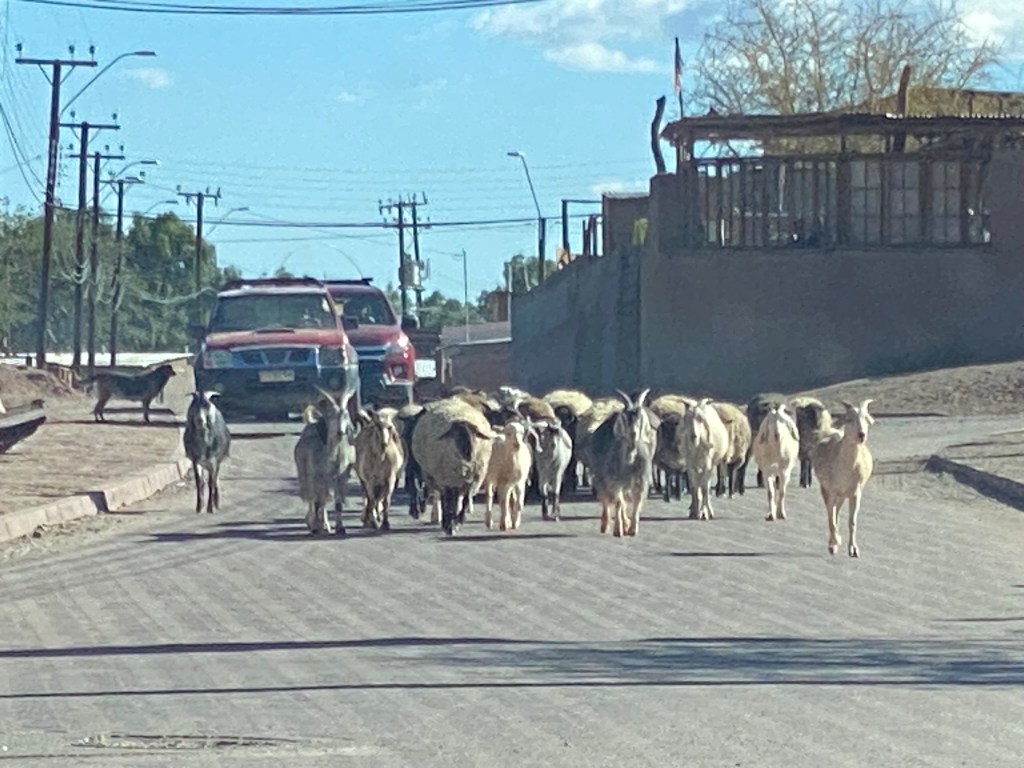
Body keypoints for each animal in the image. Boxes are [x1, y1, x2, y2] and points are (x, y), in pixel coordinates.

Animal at [411, 396, 495, 536]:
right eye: (455, 434)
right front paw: (450, 525)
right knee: (447, 500)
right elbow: (448, 503)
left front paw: (458, 521)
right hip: (443, 478)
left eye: (474, 434)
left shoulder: (471, 481)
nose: (469, 453)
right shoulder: (447, 481)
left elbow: (465, 501)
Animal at [588, 389, 657, 537]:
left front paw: (632, 529)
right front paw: (618, 530)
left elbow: (636, 503)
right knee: (607, 500)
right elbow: (619, 502)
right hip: (600, 477)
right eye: (625, 418)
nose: (633, 434)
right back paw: (605, 525)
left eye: (640, 417)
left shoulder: (641, 479)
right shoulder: (613, 480)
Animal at [812, 399, 875, 557]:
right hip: (828, 492)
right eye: (849, 419)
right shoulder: (831, 491)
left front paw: (853, 549)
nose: (861, 435)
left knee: (837, 512)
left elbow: (852, 521)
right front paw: (834, 545)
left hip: (842, 496)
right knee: (832, 514)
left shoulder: (855, 493)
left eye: (866, 419)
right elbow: (831, 519)